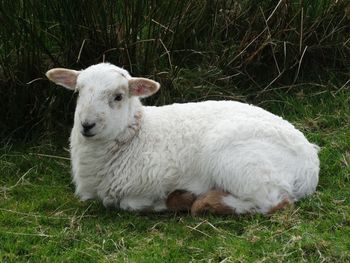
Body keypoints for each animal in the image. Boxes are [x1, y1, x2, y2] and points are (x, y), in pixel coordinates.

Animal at [45, 63, 320, 216]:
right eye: (78, 91)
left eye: (119, 96)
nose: (87, 125)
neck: (136, 135)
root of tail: (310, 163)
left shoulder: (152, 181)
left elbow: (130, 204)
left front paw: (176, 200)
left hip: (241, 164)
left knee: (274, 203)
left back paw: (207, 202)